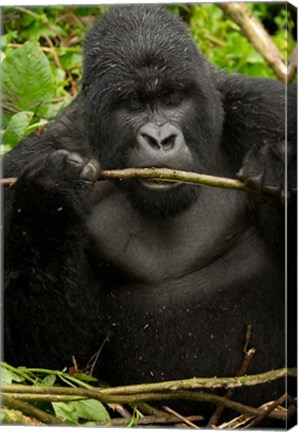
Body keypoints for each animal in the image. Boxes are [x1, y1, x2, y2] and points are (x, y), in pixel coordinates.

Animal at [2, 3, 298, 422]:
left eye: (173, 99)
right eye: (133, 104)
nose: (160, 139)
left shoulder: (269, 109)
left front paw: (284, 166)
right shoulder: (20, 170)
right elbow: (45, 362)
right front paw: (48, 205)